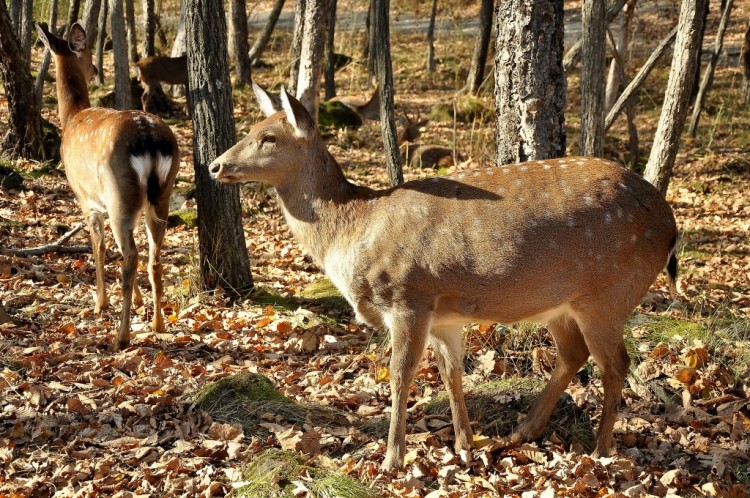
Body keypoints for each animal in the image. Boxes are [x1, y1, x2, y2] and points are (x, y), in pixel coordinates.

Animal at [37, 22, 181, 350]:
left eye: (89, 52)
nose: (93, 70)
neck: (71, 118)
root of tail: (150, 140)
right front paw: (138, 302)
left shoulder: (86, 200)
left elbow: (99, 248)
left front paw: (99, 303)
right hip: (159, 196)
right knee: (153, 256)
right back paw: (158, 324)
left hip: (118, 191)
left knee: (132, 256)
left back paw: (122, 335)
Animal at [209, 84, 680, 470]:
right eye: (252, 127)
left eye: (269, 137)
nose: (215, 165)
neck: (352, 228)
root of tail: (671, 224)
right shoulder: (445, 315)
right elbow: (452, 374)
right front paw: (465, 445)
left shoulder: (408, 296)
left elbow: (401, 375)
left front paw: (393, 459)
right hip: (563, 304)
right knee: (573, 353)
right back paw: (523, 430)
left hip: (608, 292)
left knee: (615, 364)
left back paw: (601, 449)